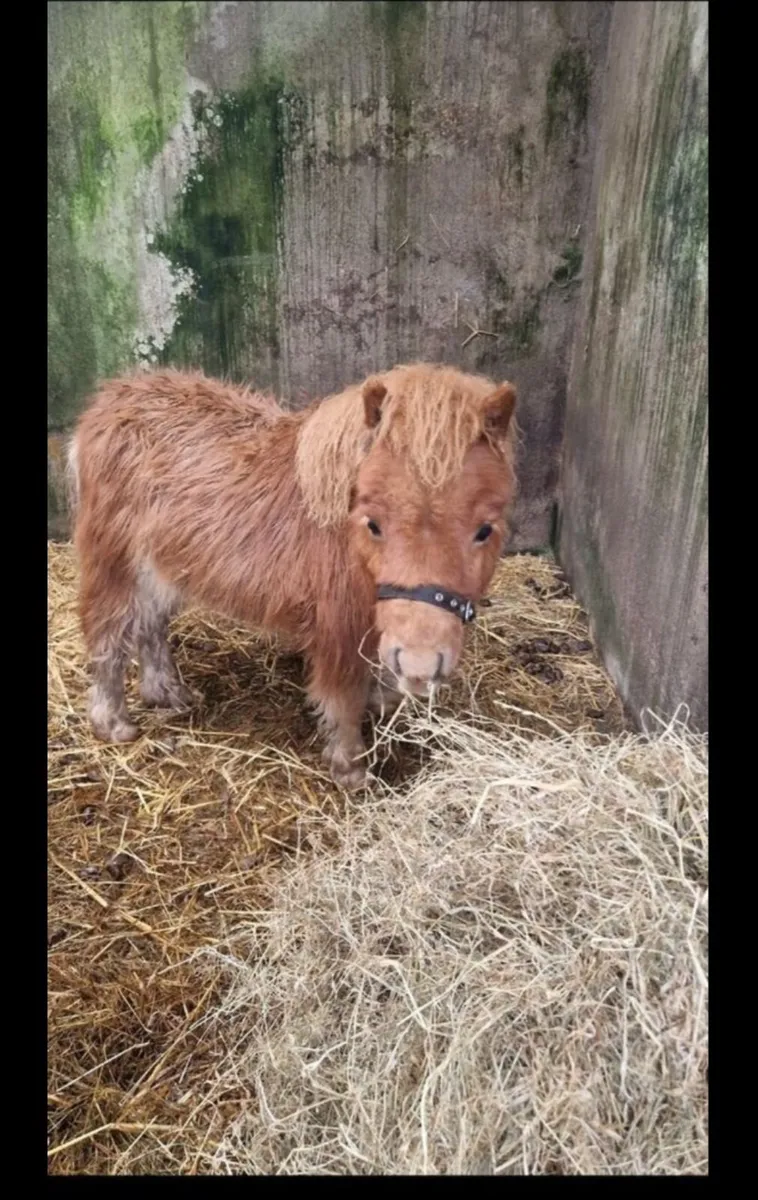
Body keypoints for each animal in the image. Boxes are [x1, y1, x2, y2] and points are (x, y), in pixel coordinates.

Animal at [68, 363, 517, 788]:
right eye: (373, 523)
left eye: (484, 530)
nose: (422, 665)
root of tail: (109, 401)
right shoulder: (338, 630)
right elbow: (343, 698)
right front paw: (351, 770)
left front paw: (383, 703)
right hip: (114, 565)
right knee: (109, 635)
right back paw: (113, 724)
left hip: (163, 569)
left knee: (150, 625)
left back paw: (168, 694)